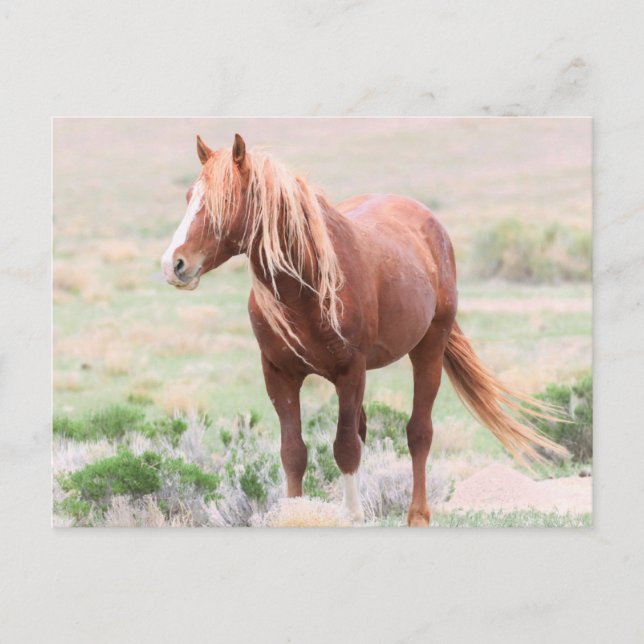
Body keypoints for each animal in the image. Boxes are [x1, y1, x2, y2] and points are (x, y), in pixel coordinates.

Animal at [161, 133, 566, 527]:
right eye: (188, 197)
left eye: (226, 199)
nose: (173, 264)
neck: (306, 289)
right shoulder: (279, 374)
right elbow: (294, 452)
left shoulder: (350, 372)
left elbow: (345, 448)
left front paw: (353, 515)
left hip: (429, 348)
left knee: (418, 432)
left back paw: (417, 515)